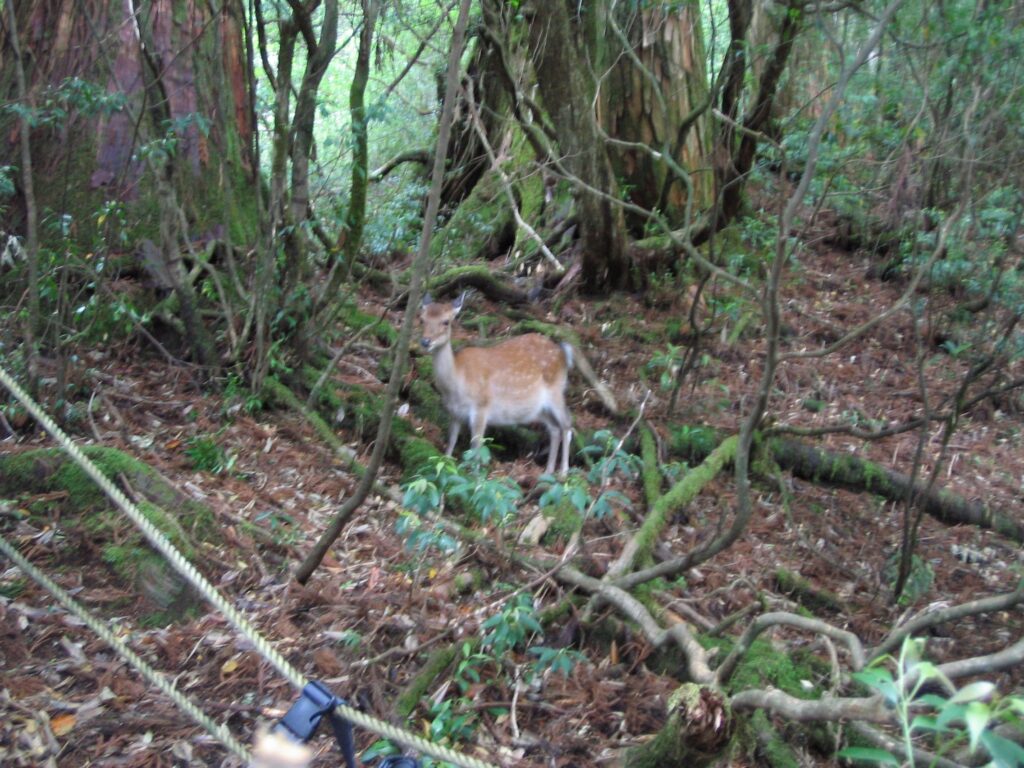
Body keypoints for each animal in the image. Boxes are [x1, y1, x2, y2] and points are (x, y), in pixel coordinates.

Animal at [417, 292, 577, 475]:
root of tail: (564, 353)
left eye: (446, 321)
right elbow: (451, 440)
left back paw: (563, 472)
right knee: (554, 428)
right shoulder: (454, 412)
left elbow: (476, 447)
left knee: (567, 423)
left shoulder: (481, 407)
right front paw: (446, 464)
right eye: (422, 319)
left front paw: (475, 476)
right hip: (538, 408)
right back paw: (548, 471)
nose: (425, 341)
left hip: (556, 390)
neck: (455, 385)